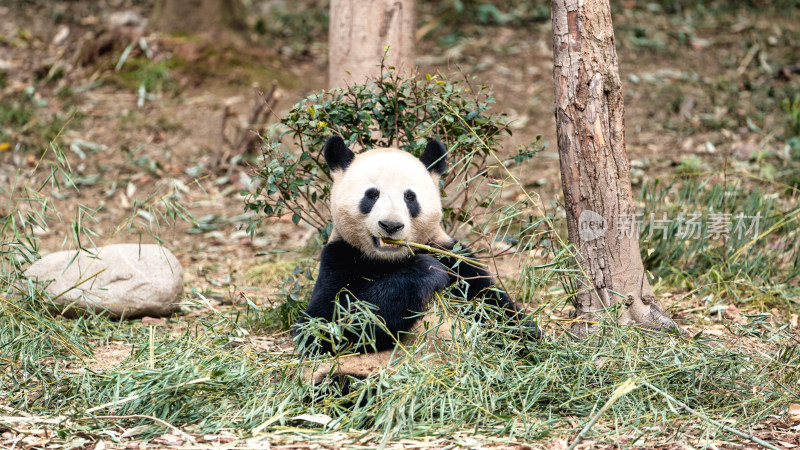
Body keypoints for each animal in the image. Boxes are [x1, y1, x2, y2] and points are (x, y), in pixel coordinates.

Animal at [296, 134, 540, 384]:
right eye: (371, 194)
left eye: (409, 197)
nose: (391, 225)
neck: (390, 259)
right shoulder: (339, 257)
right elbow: (324, 326)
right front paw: (428, 270)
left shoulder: (450, 254)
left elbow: (491, 303)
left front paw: (532, 340)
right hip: (357, 371)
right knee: (344, 385)